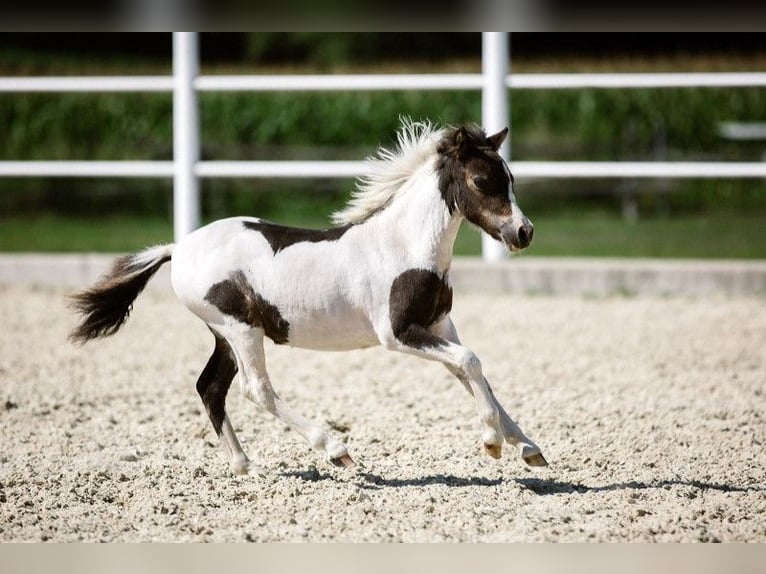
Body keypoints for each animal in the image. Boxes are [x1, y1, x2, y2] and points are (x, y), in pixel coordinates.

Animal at [69, 119, 547, 475]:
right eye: (482, 180)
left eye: (510, 179)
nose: (523, 233)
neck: (404, 246)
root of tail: (178, 248)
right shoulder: (398, 334)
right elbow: (471, 362)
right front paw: (491, 443)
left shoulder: (437, 324)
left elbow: (473, 373)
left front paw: (528, 448)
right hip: (239, 328)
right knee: (255, 390)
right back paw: (335, 449)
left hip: (225, 335)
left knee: (211, 388)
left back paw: (246, 466)